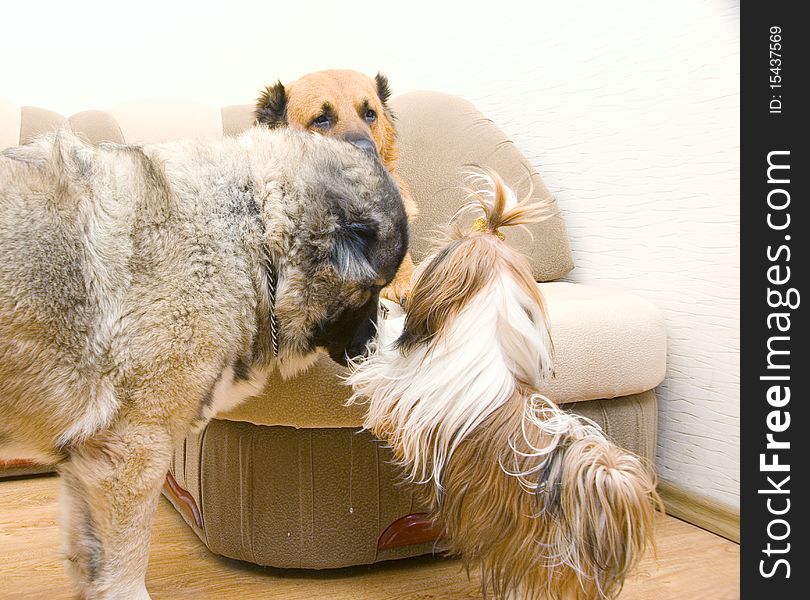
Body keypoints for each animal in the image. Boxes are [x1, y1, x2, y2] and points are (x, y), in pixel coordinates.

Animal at [0, 127, 404, 600]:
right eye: (373, 291)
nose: (375, 344)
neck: (255, 234)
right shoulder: (132, 452)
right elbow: (124, 563)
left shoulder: (89, 463)